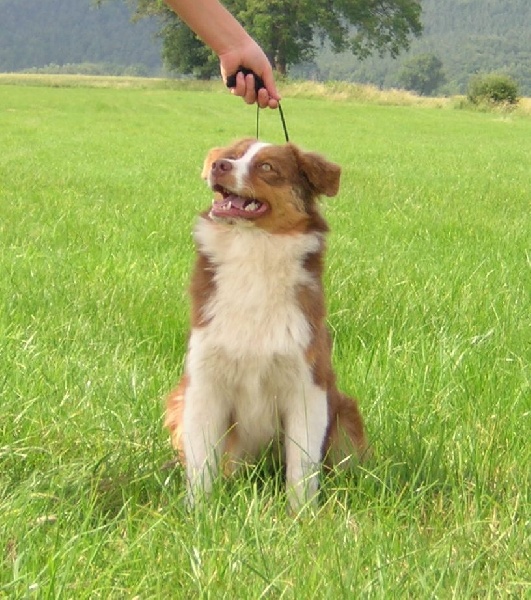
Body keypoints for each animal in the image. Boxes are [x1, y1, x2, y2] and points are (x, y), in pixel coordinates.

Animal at [164, 138, 368, 508]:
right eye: (231, 154)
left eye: (267, 167)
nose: (219, 166)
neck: (252, 249)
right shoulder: (204, 383)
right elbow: (201, 465)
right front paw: (199, 512)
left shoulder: (307, 385)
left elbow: (301, 468)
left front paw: (301, 515)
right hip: (178, 399)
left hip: (345, 411)